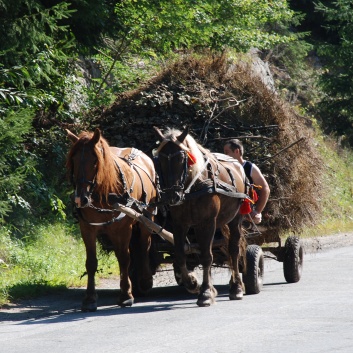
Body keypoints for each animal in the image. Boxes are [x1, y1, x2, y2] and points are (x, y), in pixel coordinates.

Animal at [66, 128, 157, 310]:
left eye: (95, 160)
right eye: (73, 159)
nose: (80, 199)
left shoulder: (122, 229)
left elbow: (124, 259)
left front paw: (126, 295)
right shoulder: (87, 228)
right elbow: (91, 262)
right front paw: (90, 298)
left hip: (146, 217)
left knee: (144, 245)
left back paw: (145, 279)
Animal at [153, 126, 246, 306]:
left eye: (182, 158)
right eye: (159, 159)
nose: (171, 196)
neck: (193, 187)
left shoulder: (207, 223)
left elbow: (206, 256)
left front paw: (205, 293)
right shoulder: (180, 224)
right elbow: (181, 254)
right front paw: (192, 283)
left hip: (235, 219)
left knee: (233, 250)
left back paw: (236, 287)